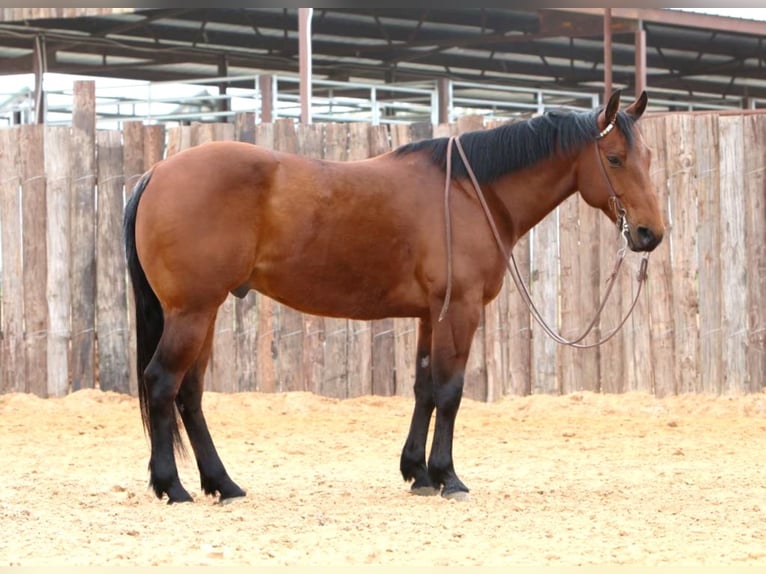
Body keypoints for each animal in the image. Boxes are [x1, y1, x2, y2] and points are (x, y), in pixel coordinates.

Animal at [126, 89, 664, 504]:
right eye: (614, 158)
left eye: (648, 158)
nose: (649, 234)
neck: (471, 193)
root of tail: (157, 173)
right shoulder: (460, 311)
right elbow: (450, 391)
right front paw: (447, 476)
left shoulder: (431, 315)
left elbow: (424, 388)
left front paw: (418, 473)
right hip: (192, 313)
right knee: (162, 383)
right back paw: (172, 486)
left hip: (204, 313)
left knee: (190, 394)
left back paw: (223, 484)